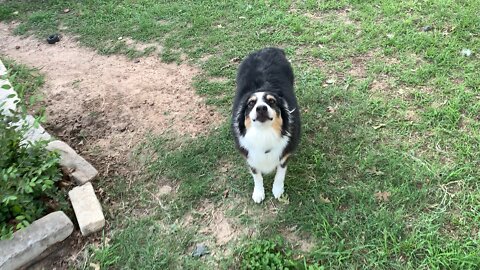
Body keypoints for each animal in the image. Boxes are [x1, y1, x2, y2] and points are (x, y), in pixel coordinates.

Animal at [232, 47, 300, 202]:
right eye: (251, 103)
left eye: (272, 101)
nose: (261, 108)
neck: (264, 133)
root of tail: (268, 48)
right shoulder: (250, 157)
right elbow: (257, 176)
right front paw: (258, 193)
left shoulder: (284, 153)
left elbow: (280, 174)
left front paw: (277, 190)